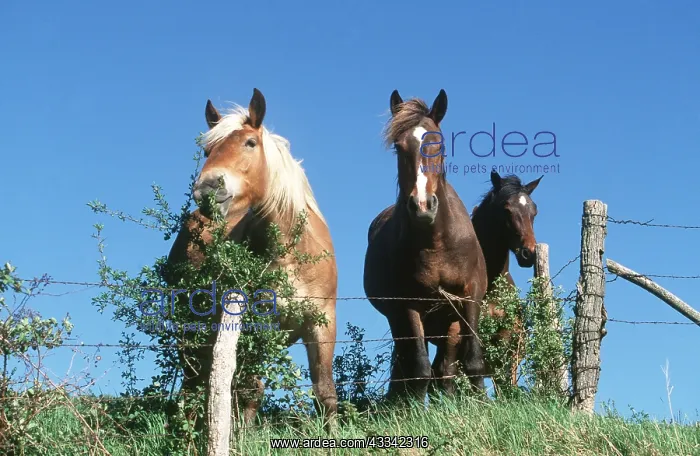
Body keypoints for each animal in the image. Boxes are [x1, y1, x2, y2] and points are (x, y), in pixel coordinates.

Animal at [166, 88, 338, 427]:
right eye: (207, 149)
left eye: (249, 143)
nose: (207, 189)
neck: (293, 254)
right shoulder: (258, 323)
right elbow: (251, 389)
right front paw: (245, 433)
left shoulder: (322, 321)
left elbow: (324, 389)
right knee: (193, 384)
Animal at [363, 89, 489, 402]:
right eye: (398, 148)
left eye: (439, 144)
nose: (422, 206)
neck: (438, 243)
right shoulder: (409, 306)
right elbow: (419, 369)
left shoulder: (469, 298)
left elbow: (474, 362)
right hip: (400, 321)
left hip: (449, 322)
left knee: (445, 367)